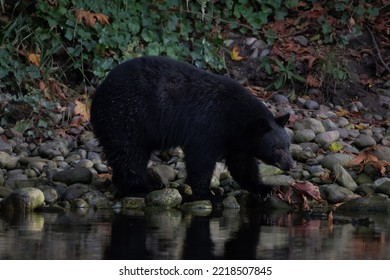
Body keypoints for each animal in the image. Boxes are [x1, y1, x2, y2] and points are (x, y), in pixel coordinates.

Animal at [90, 55, 294, 199]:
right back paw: (142, 187)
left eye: (288, 145)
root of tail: (97, 94)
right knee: (130, 155)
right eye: (277, 147)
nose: (291, 165)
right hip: (126, 118)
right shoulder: (209, 126)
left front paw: (263, 189)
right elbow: (200, 159)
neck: (236, 118)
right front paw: (208, 194)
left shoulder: (238, 141)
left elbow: (243, 165)